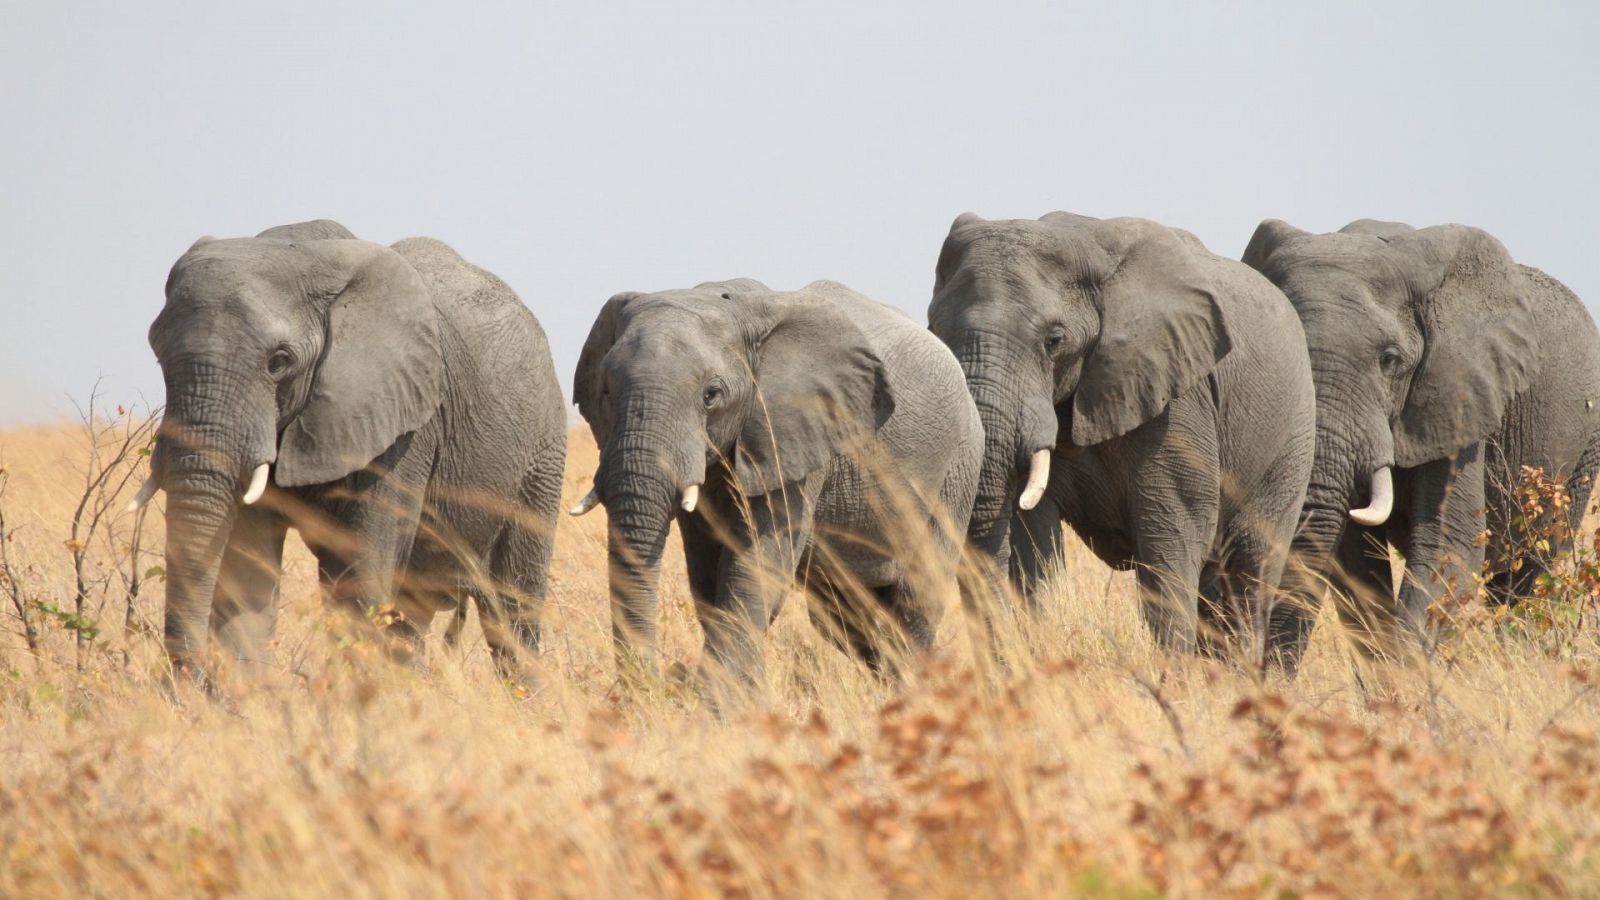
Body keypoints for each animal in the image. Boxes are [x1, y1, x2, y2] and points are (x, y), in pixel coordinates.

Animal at [136, 219, 569, 679]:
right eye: (158, 354)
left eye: (279, 361)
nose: (186, 676)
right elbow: (244, 576)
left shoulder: (403, 427)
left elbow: (362, 574)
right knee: (413, 616)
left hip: (541, 455)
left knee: (513, 612)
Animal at [569, 277, 979, 698]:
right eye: (605, 390)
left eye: (711, 395)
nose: (653, 687)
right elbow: (708, 574)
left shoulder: (795, 434)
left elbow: (755, 568)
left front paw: (716, 702)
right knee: (843, 616)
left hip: (958, 469)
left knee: (916, 600)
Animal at [934, 209, 1318, 659]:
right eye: (934, 329)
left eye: (1054, 340)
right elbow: (1031, 540)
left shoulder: (1177, 397)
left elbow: (1173, 528)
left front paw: (1174, 676)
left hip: (1292, 439)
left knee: (1251, 569)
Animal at [1241, 212, 1600, 656]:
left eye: (1390, 360)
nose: (1266, 665)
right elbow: (1354, 559)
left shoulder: (1460, 397)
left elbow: (1449, 541)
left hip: (1584, 450)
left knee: (1530, 574)